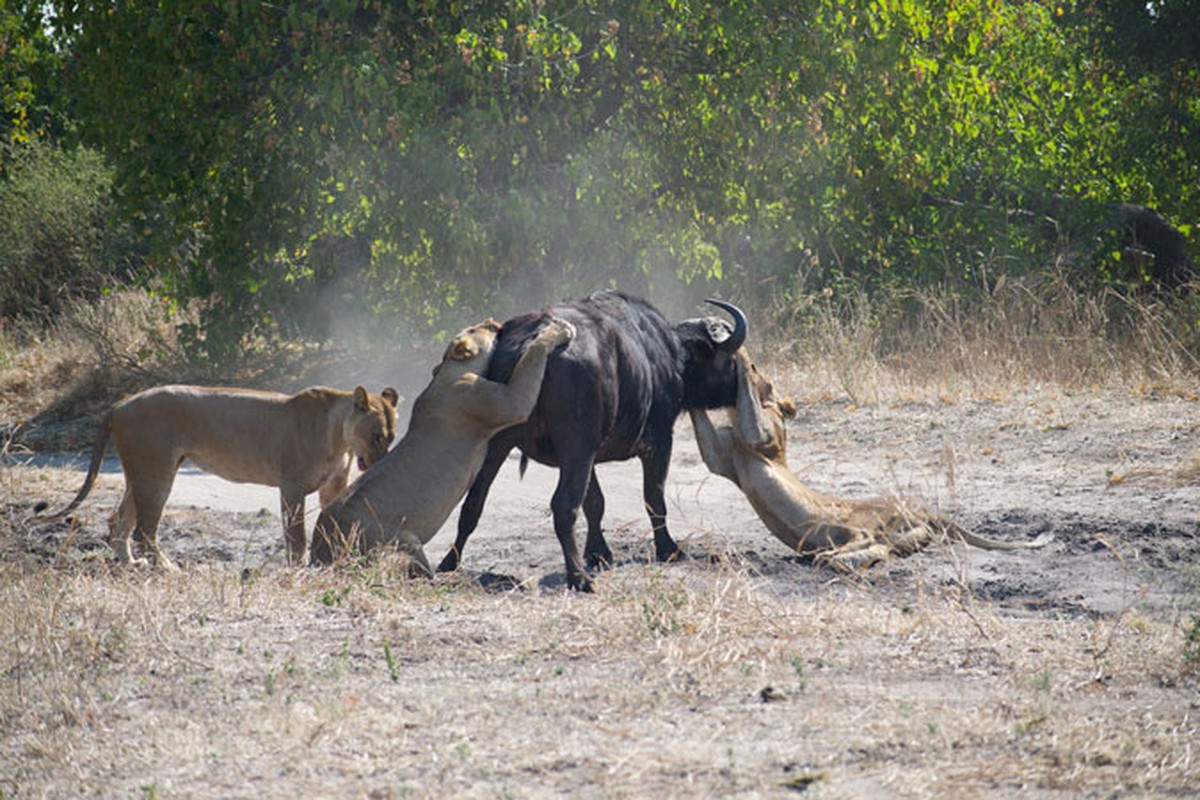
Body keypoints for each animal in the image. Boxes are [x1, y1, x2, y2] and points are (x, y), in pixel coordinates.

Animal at [37, 383, 398, 566]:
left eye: (392, 437)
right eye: (377, 435)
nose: (382, 461)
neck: (341, 438)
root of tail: (120, 403)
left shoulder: (333, 486)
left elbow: (335, 519)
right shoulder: (292, 486)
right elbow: (295, 535)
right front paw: (299, 567)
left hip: (142, 472)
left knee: (118, 521)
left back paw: (130, 567)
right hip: (156, 471)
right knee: (143, 530)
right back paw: (168, 569)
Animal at [307, 316, 573, 573]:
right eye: (474, 328)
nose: (491, 320)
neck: (447, 373)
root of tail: (320, 551)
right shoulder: (509, 401)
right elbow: (533, 355)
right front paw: (559, 328)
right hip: (403, 541)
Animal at [436, 291, 744, 592]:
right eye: (731, 361)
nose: (738, 390)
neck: (671, 358)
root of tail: (533, 342)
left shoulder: (590, 454)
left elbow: (595, 502)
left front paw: (598, 553)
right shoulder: (657, 442)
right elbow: (653, 498)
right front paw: (668, 549)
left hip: (501, 440)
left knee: (474, 501)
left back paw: (449, 563)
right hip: (575, 446)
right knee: (563, 506)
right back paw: (579, 577)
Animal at [686, 352, 1051, 573]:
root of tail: (926, 507)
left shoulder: (765, 439)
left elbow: (752, 402)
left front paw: (742, 360)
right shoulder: (723, 454)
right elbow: (704, 428)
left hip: (860, 521)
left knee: (870, 542)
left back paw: (833, 557)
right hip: (893, 530)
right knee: (887, 547)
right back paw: (832, 558)